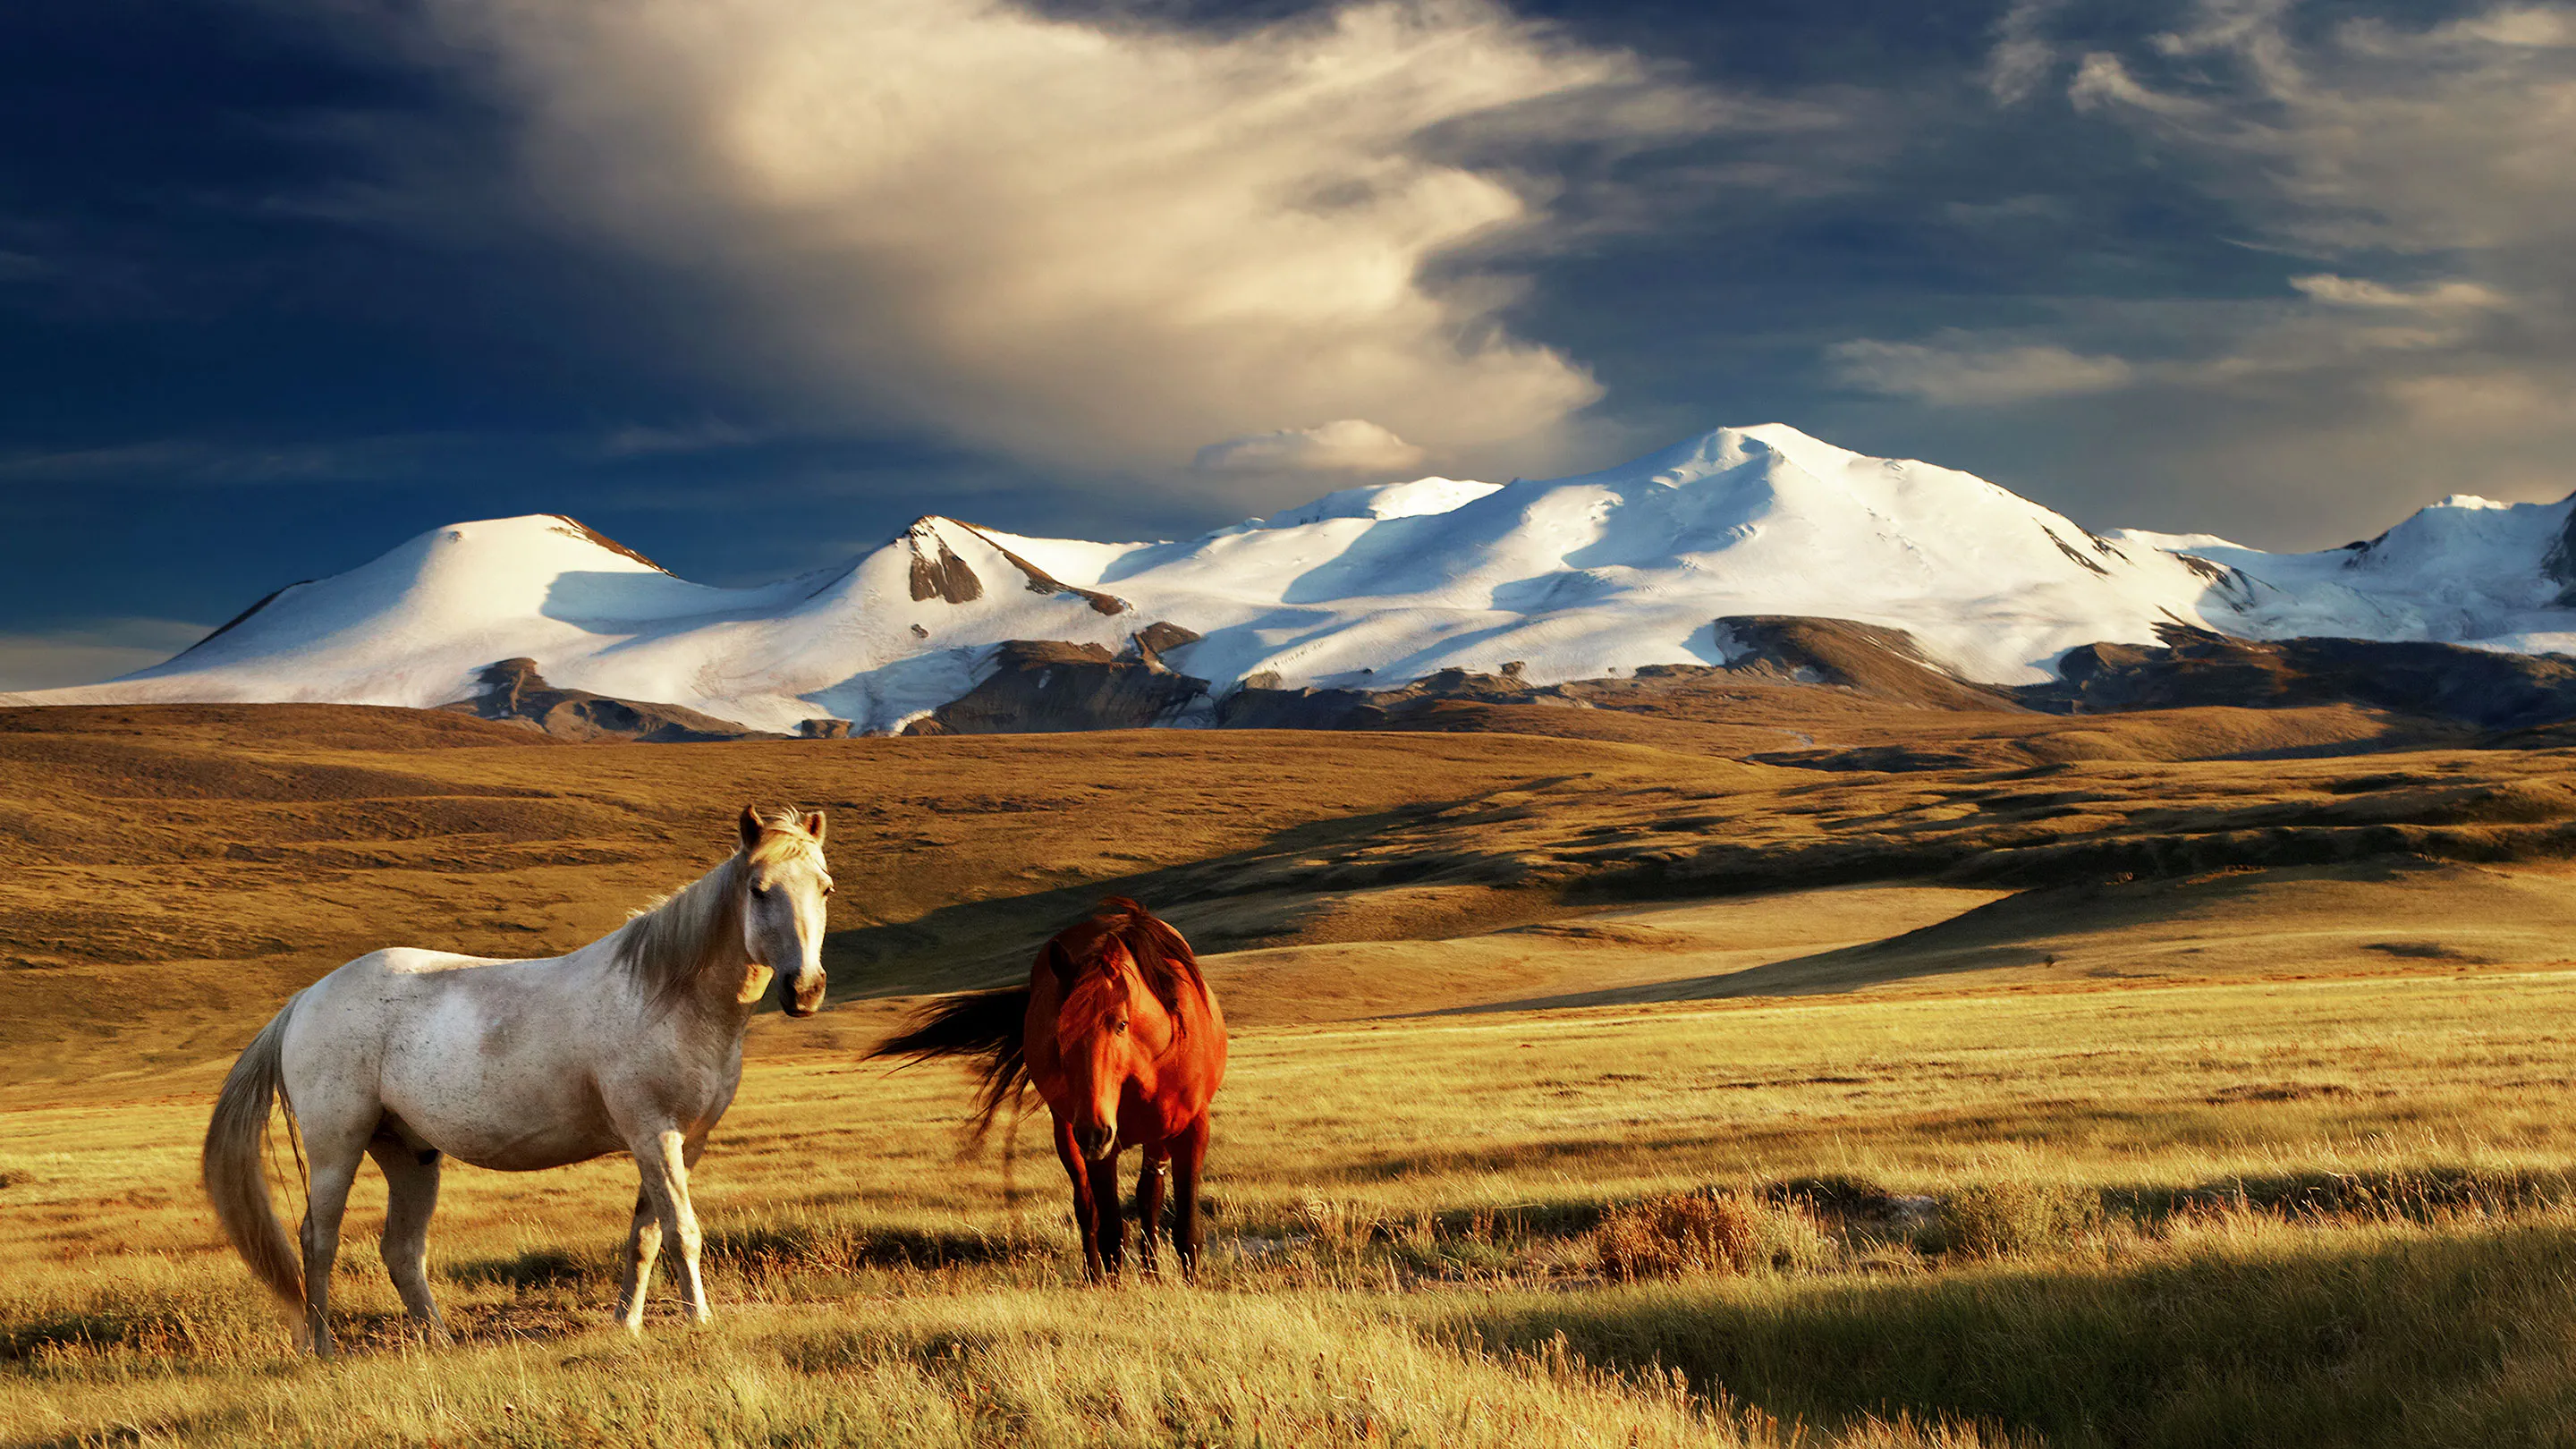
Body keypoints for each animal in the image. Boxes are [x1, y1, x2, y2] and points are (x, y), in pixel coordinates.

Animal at [201, 805, 834, 1355]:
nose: (804, 990)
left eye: (824, 887)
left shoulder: (685, 1141)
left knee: (402, 1251)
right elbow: (682, 1232)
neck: (665, 995)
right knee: (318, 1239)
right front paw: (700, 1320)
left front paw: (626, 1324)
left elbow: (646, 1237)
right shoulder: (654, 1134)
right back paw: (324, 1348)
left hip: (409, 1154)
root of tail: (304, 999)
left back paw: (441, 1342)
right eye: (758, 889)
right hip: (338, 1147)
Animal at [870, 897, 1226, 1281]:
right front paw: (1114, 1286)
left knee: (1149, 1197)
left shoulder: (1191, 1130)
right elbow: (1112, 1231)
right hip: (1070, 1132)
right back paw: (1096, 1277)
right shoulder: (1103, 1144)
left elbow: (1186, 1230)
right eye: (1058, 1033)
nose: (1094, 1133)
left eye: (1121, 1024)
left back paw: (1151, 1272)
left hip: (1151, 1136)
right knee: (1089, 1208)